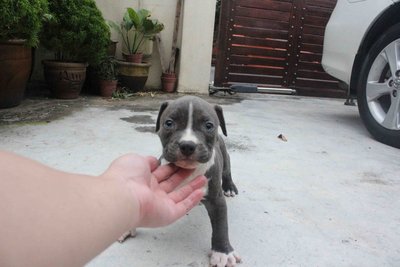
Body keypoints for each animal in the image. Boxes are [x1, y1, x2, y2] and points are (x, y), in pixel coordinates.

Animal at [155, 97, 241, 267]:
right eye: (169, 123)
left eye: (208, 125)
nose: (187, 145)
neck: (188, 170)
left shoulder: (216, 200)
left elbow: (221, 225)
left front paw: (223, 252)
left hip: (225, 156)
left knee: (227, 171)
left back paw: (229, 187)